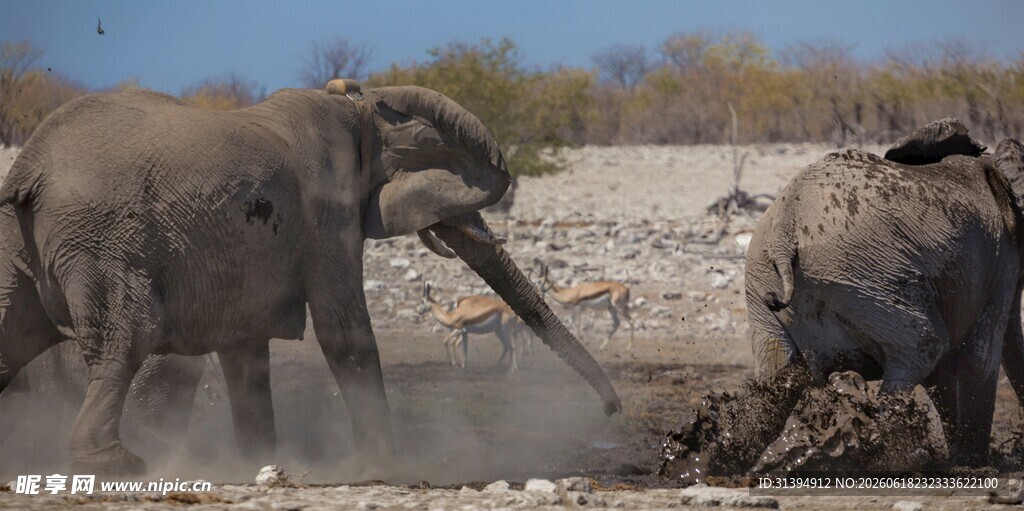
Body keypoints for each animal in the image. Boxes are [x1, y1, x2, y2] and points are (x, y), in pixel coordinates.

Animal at [0, 79, 621, 476]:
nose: (613, 410)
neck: (359, 108)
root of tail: (30, 166)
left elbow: (246, 350)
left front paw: (259, 463)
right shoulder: (327, 212)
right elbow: (345, 333)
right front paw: (385, 467)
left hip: (19, 240)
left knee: (14, 332)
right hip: (103, 238)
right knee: (127, 336)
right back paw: (117, 464)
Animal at [745, 118, 1024, 466]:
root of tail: (785, 231)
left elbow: (946, 374)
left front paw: (959, 459)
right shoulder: (1001, 260)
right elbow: (979, 358)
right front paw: (973, 463)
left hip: (764, 283)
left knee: (774, 375)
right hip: (865, 276)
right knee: (923, 349)